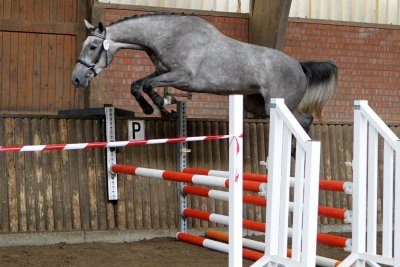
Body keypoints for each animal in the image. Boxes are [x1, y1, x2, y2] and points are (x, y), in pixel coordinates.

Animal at [72, 13, 338, 133]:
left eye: (93, 47)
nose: (76, 79)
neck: (168, 36)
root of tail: (299, 65)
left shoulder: (183, 77)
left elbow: (147, 85)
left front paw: (163, 106)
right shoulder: (162, 72)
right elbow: (137, 84)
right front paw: (153, 109)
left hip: (279, 103)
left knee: (305, 120)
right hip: (257, 105)